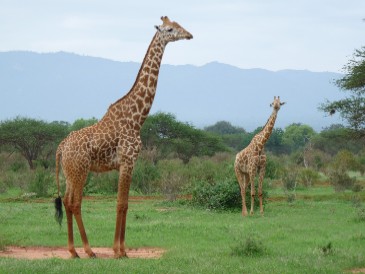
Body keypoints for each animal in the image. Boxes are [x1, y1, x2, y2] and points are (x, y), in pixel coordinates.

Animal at [54, 16, 192, 258]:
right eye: (169, 29)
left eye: (178, 25)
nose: (189, 35)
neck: (137, 117)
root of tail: (61, 146)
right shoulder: (128, 160)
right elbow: (121, 204)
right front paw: (119, 251)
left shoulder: (128, 163)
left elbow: (125, 203)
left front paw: (121, 249)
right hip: (80, 171)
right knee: (76, 203)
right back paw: (88, 250)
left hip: (70, 173)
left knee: (69, 202)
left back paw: (73, 251)